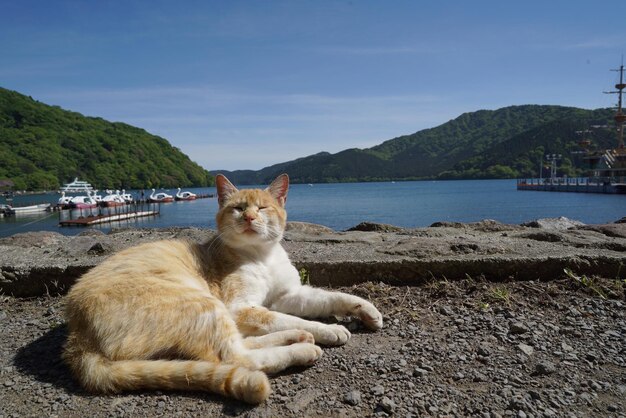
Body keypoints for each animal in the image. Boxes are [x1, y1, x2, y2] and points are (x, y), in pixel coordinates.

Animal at [63, 171, 380, 404]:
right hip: (205, 304)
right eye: (238, 209)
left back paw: (296, 338)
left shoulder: (288, 295)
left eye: (262, 207)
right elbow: (292, 318)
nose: (250, 217)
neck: (263, 256)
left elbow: (331, 297)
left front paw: (366, 311)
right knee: (237, 357)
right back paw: (301, 348)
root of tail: (79, 337)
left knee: (241, 345)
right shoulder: (240, 307)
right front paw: (330, 329)